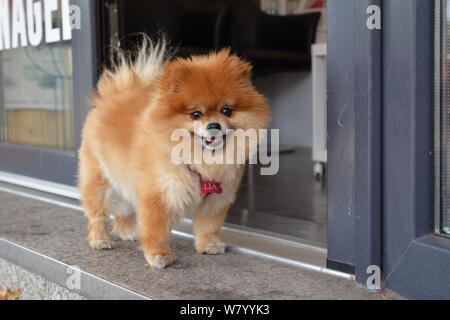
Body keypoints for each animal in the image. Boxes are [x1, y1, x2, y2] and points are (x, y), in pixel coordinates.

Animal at [78, 40, 270, 270]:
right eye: (195, 114)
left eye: (226, 111)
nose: (214, 125)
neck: (201, 161)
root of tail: (113, 94)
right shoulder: (158, 195)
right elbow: (157, 230)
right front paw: (159, 255)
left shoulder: (215, 200)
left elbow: (208, 226)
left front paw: (209, 245)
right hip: (99, 181)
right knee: (97, 215)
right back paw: (100, 240)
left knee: (124, 211)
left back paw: (128, 232)